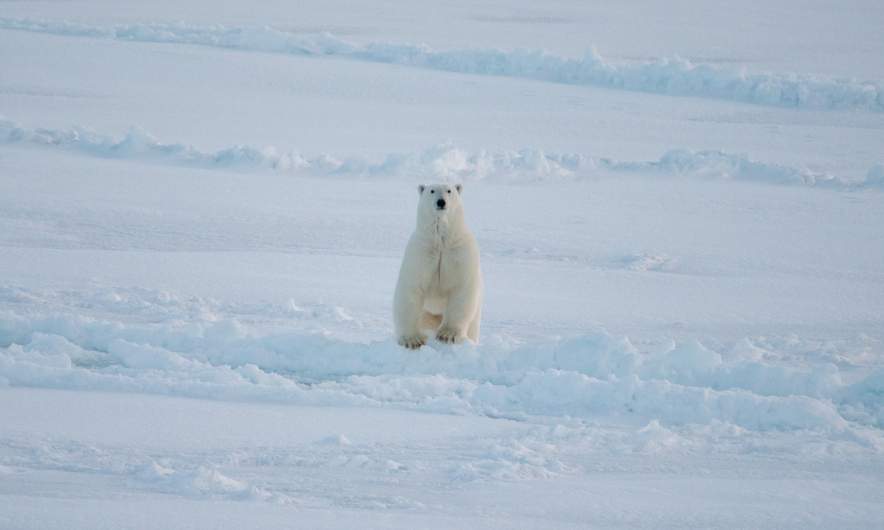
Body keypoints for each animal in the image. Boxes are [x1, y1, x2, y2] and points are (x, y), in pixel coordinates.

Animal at [394, 183, 483, 349]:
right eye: (432, 190)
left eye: (449, 190)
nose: (441, 202)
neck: (441, 242)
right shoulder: (421, 252)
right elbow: (411, 289)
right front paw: (412, 340)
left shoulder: (459, 252)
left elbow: (461, 288)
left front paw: (448, 335)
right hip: (427, 314)